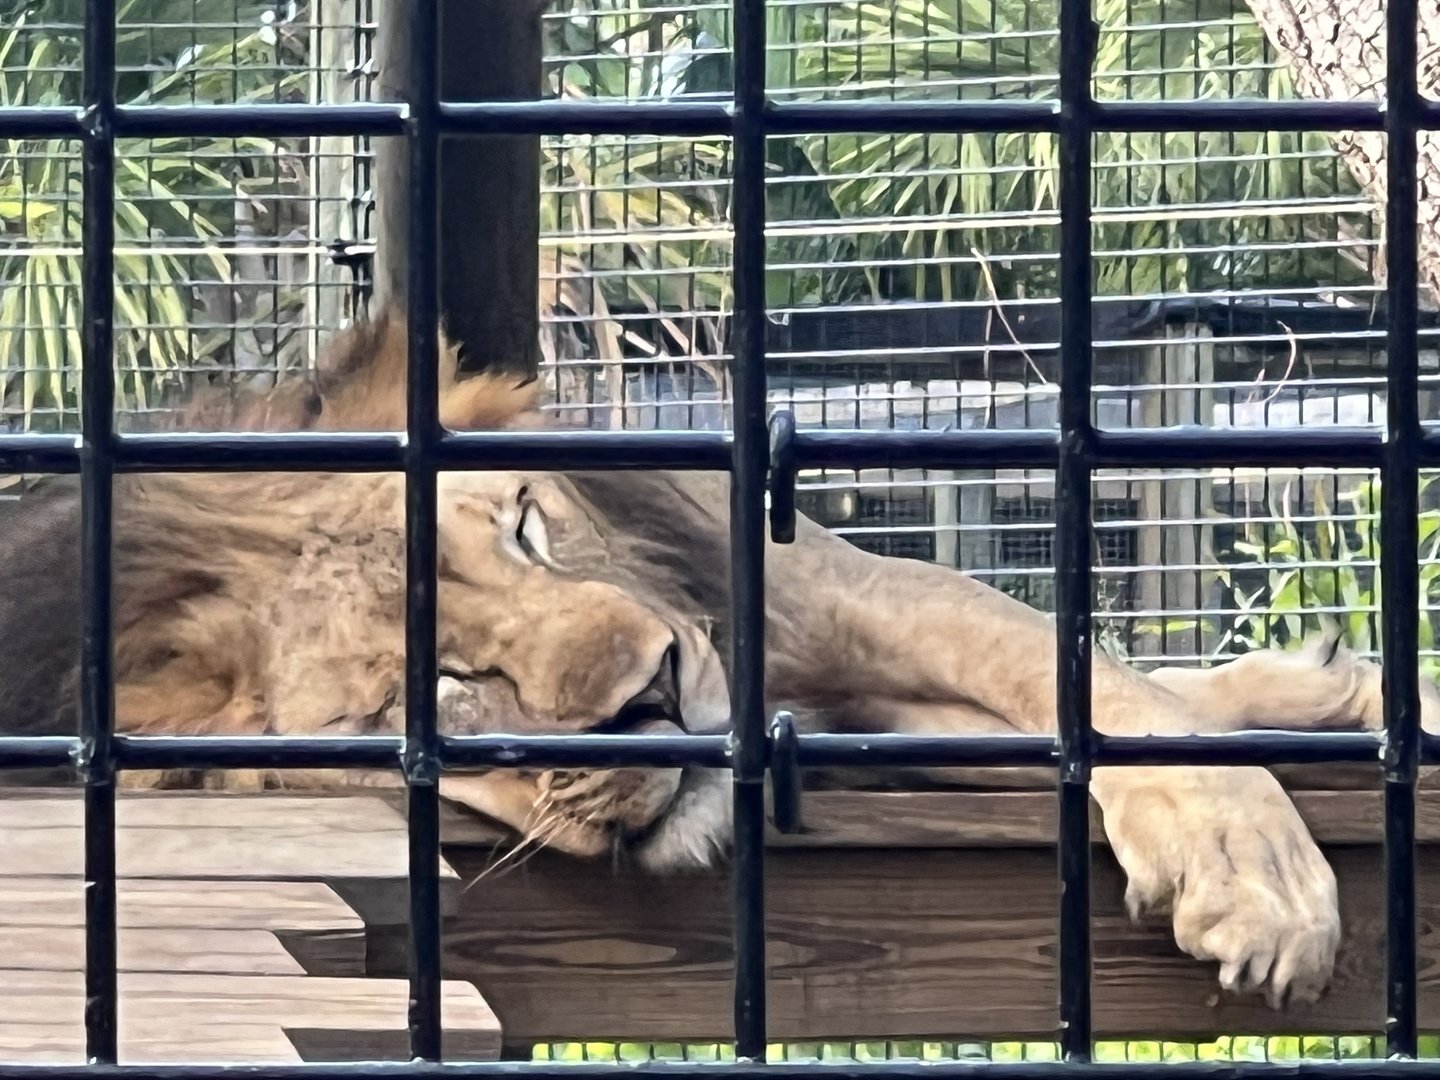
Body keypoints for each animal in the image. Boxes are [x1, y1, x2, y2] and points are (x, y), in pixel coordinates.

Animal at [1, 307, 1433, 1012]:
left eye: (528, 529)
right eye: (447, 685)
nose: (658, 694)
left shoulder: (815, 597)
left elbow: (1063, 666)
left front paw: (1254, 876)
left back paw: (1329, 687)